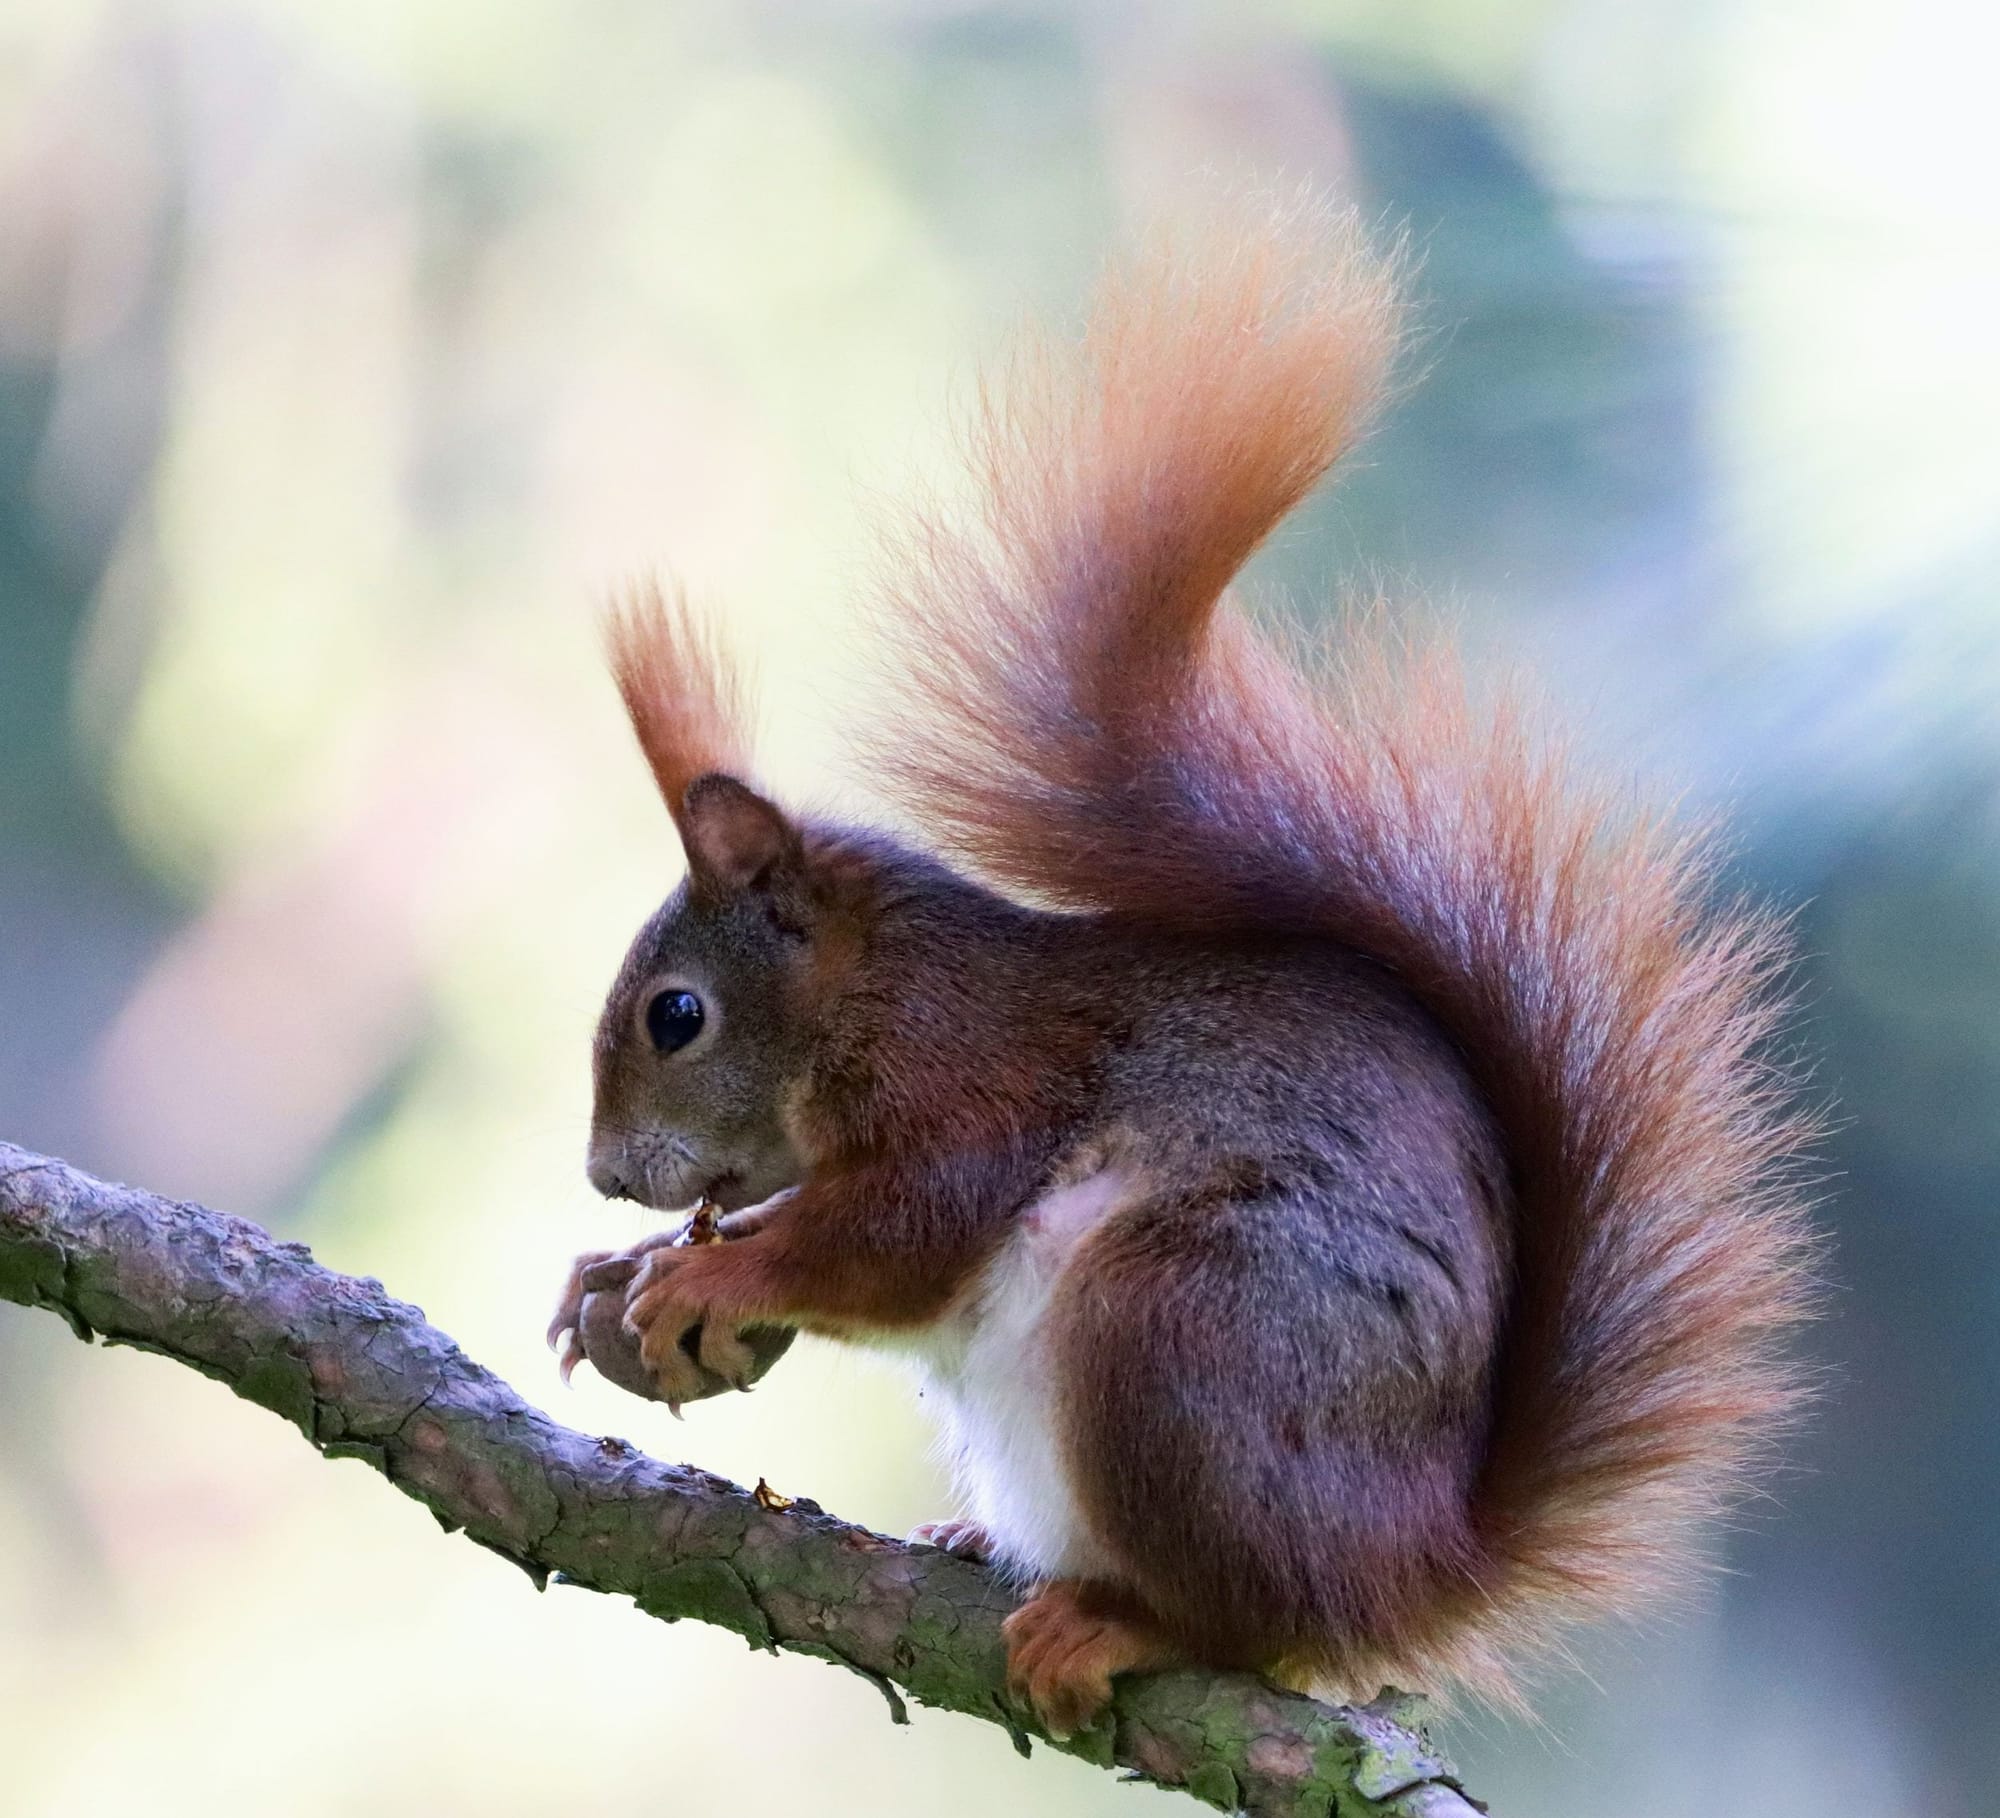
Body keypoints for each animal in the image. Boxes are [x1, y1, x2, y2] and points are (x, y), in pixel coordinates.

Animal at [544, 195, 1816, 1728]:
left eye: (677, 1015)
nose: (605, 1176)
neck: (871, 989)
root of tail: (1411, 1561)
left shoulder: (971, 1076)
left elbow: (904, 1231)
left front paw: (705, 1280)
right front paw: (611, 1272)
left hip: (1177, 1323)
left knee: (1253, 1620)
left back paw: (1124, 1624)